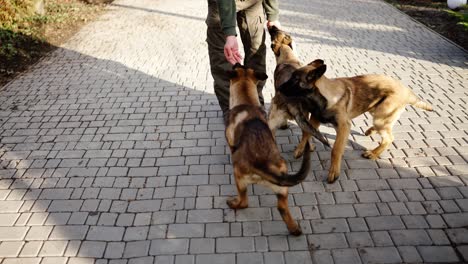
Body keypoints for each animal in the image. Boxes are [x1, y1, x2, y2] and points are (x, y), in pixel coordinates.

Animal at [226, 63, 310, 235]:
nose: (236, 62)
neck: (246, 102)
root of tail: (264, 165)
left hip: (239, 177)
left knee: (244, 202)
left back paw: (234, 203)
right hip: (283, 191)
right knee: (282, 209)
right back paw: (294, 229)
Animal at [266, 25, 330, 155]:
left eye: (275, 32)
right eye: (280, 31)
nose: (272, 25)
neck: (288, 58)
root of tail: (293, 101)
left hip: (271, 121)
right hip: (306, 117)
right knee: (307, 133)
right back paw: (306, 149)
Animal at [276, 59, 434, 184]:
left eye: (295, 80)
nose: (279, 87)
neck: (325, 96)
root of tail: (407, 91)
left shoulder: (343, 127)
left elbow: (336, 150)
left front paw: (334, 172)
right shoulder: (315, 119)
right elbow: (306, 133)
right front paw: (300, 149)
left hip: (380, 117)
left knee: (389, 138)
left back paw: (373, 153)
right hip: (375, 111)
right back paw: (370, 132)